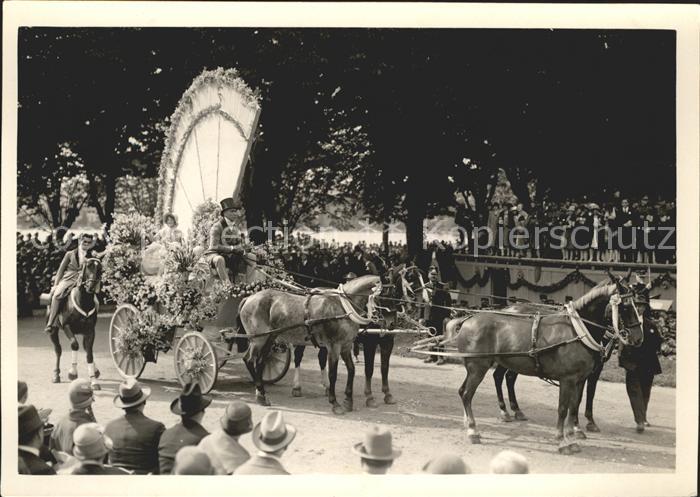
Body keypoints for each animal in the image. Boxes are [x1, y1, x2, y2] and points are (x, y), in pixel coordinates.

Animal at [49, 258, 102, 390]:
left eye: (100, 269)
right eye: (87, 266)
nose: (91, 286)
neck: (83, 301)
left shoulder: (90, 331)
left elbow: (89, 353)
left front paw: (93, 380)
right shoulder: (66, 326)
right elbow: (74, 345)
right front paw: (72, 373)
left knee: (86, 348)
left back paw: (96, 370)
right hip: (53, 331)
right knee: (58, 350)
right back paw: (56, 375)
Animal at [238, 274, 404, 412]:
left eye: (397, 296)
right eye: (384, 296)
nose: (391, 324)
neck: (343, 307)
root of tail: (249, 298)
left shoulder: (346, 346)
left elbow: (352, 370)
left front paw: (348, 401)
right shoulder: (334, 346)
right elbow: (334, 373)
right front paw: (335, 403)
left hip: (269, 338)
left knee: (259, 361)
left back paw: (261, 393)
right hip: (259, 339)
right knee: (251, 360)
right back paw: (262, 392)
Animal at [448, 276, 640, 454]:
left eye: (639, 304)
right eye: (625, 306)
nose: (638, 337)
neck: (577, 330)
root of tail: (468, 318)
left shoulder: (579, 380)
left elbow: (573, 407)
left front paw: (572, 437)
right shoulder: (567, 379)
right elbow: (563, 409)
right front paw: (562, 441)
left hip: (477, 368)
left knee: (466, 390)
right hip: (477, 368)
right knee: (467, 394)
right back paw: (473, 430)